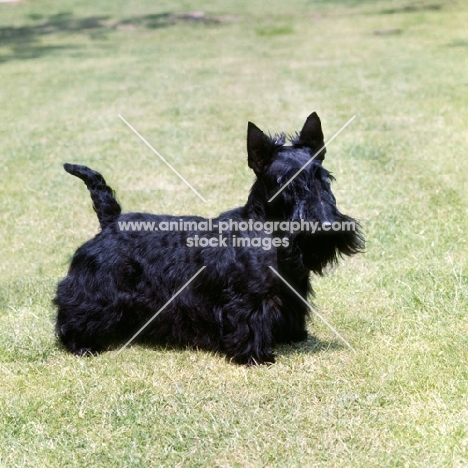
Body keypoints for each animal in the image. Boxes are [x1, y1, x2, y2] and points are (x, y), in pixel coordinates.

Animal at [54, 111, 362, 364]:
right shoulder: (247, 300)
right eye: (283, 183)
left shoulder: (292, 292)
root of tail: (111, 220)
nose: (325, 226)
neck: (269, 234)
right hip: (95, 290)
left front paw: (291, 336)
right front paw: (256, 356)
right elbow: (249, 322)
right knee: (74, 310)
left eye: (324, 177)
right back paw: (82, 344)